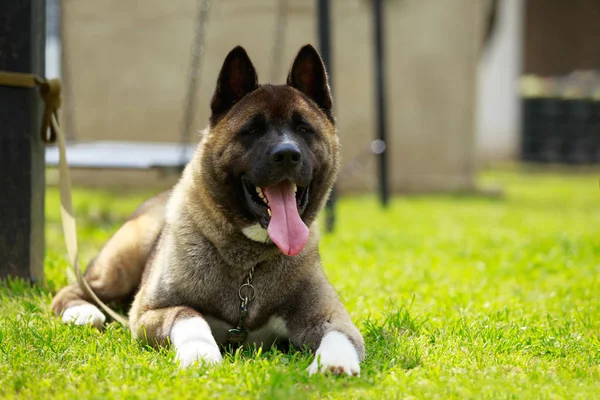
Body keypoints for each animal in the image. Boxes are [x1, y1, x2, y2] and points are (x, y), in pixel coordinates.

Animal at [51, 45, 364, 376]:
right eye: (252, 130)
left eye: (304, 128)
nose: (288, 155)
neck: (248, 265)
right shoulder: (149, 312)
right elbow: (189, 316)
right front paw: (200, 353)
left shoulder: (330, 316)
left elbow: (339, 334)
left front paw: (334, 361)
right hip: (121, 265)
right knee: (75, 289)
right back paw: (82, 313)